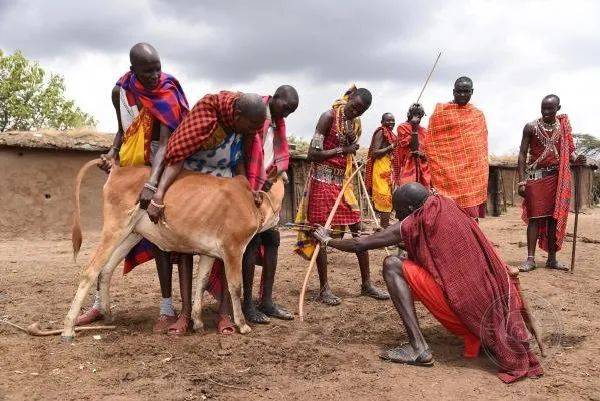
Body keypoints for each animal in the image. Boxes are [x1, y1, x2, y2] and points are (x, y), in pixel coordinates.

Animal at [62, 158, 284, 340]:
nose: (278, 225)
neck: (253, 205)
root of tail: (118, 169)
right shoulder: (233, 248)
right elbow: (235, 286)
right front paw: (242, 325)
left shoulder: (209, 252)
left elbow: (201, 282)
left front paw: (198, 322)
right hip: (114, 227)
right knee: (90, 270)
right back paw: (68, 328)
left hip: (131, 234)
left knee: (106, 270)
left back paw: (108, 314)